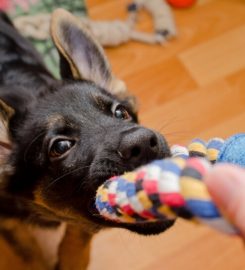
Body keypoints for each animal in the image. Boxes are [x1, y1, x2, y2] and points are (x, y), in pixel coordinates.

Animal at [0, 8, 173, 270]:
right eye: (61, 146)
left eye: (120, 112)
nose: (143, 144)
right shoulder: (9, 223)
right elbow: (26, 252)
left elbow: (78, 238)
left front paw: (71, 259)